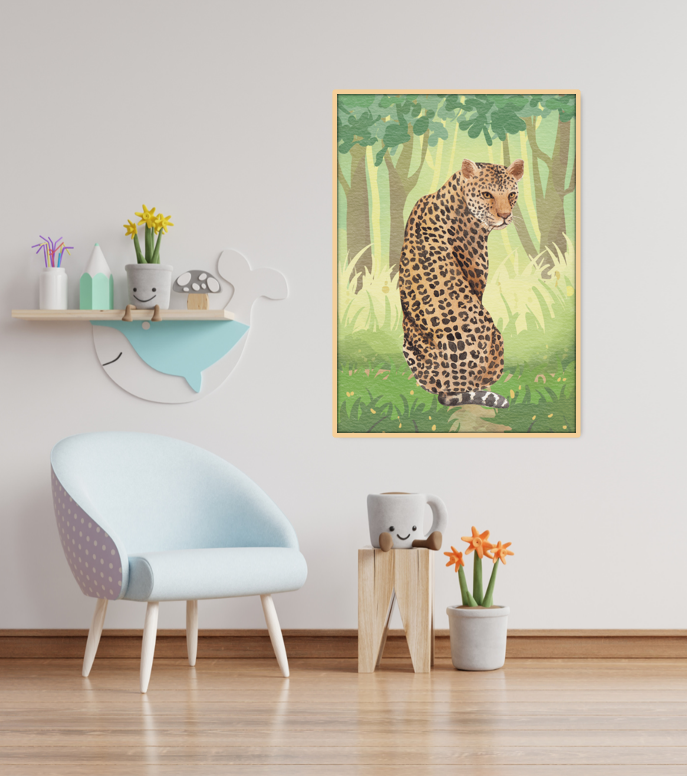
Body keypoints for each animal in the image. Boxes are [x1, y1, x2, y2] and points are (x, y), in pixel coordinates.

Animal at [398, 157, 525, 409]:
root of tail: (449, 385)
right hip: (496, 337)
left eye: (512, 194)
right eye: (486, 194)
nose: (505, 215)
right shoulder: (476, 278)